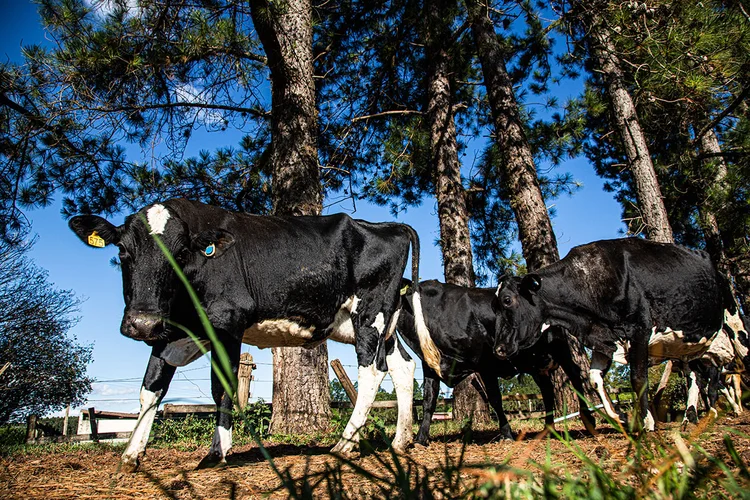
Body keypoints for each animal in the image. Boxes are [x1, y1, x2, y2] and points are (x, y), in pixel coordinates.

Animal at [71, 197, 428, 470]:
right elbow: (150, 389)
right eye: (122, 252)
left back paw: (345, 443)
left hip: (369, 313)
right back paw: (401, 440)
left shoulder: (228, 323)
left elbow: (222, 387)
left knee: (372, 371)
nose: (142, 322)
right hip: (381, 324)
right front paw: (131, 453)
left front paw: (217, 452)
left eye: (182, 253)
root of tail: (387, 226)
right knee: (403, 367)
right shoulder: (169, 331)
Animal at [396, 280, 596, 444]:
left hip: (561, 349)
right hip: (535, 364)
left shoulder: (486, 362)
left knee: (575, 376)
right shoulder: (430, 365)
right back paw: (548, 429)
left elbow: (495, 399)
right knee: (547, 391)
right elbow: (429, 401)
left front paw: (507, 434)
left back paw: (589, 420)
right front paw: (421, 438)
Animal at [494, 236, 740, 432]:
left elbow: (638, 379)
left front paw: (647, 423)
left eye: (507, 300)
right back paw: (691, 419)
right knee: (696, 378)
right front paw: (619, 417)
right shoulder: (605, 339)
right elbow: (594, 379)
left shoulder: (639, 329)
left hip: (735, 327)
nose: (498, 348)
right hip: (688, 348)